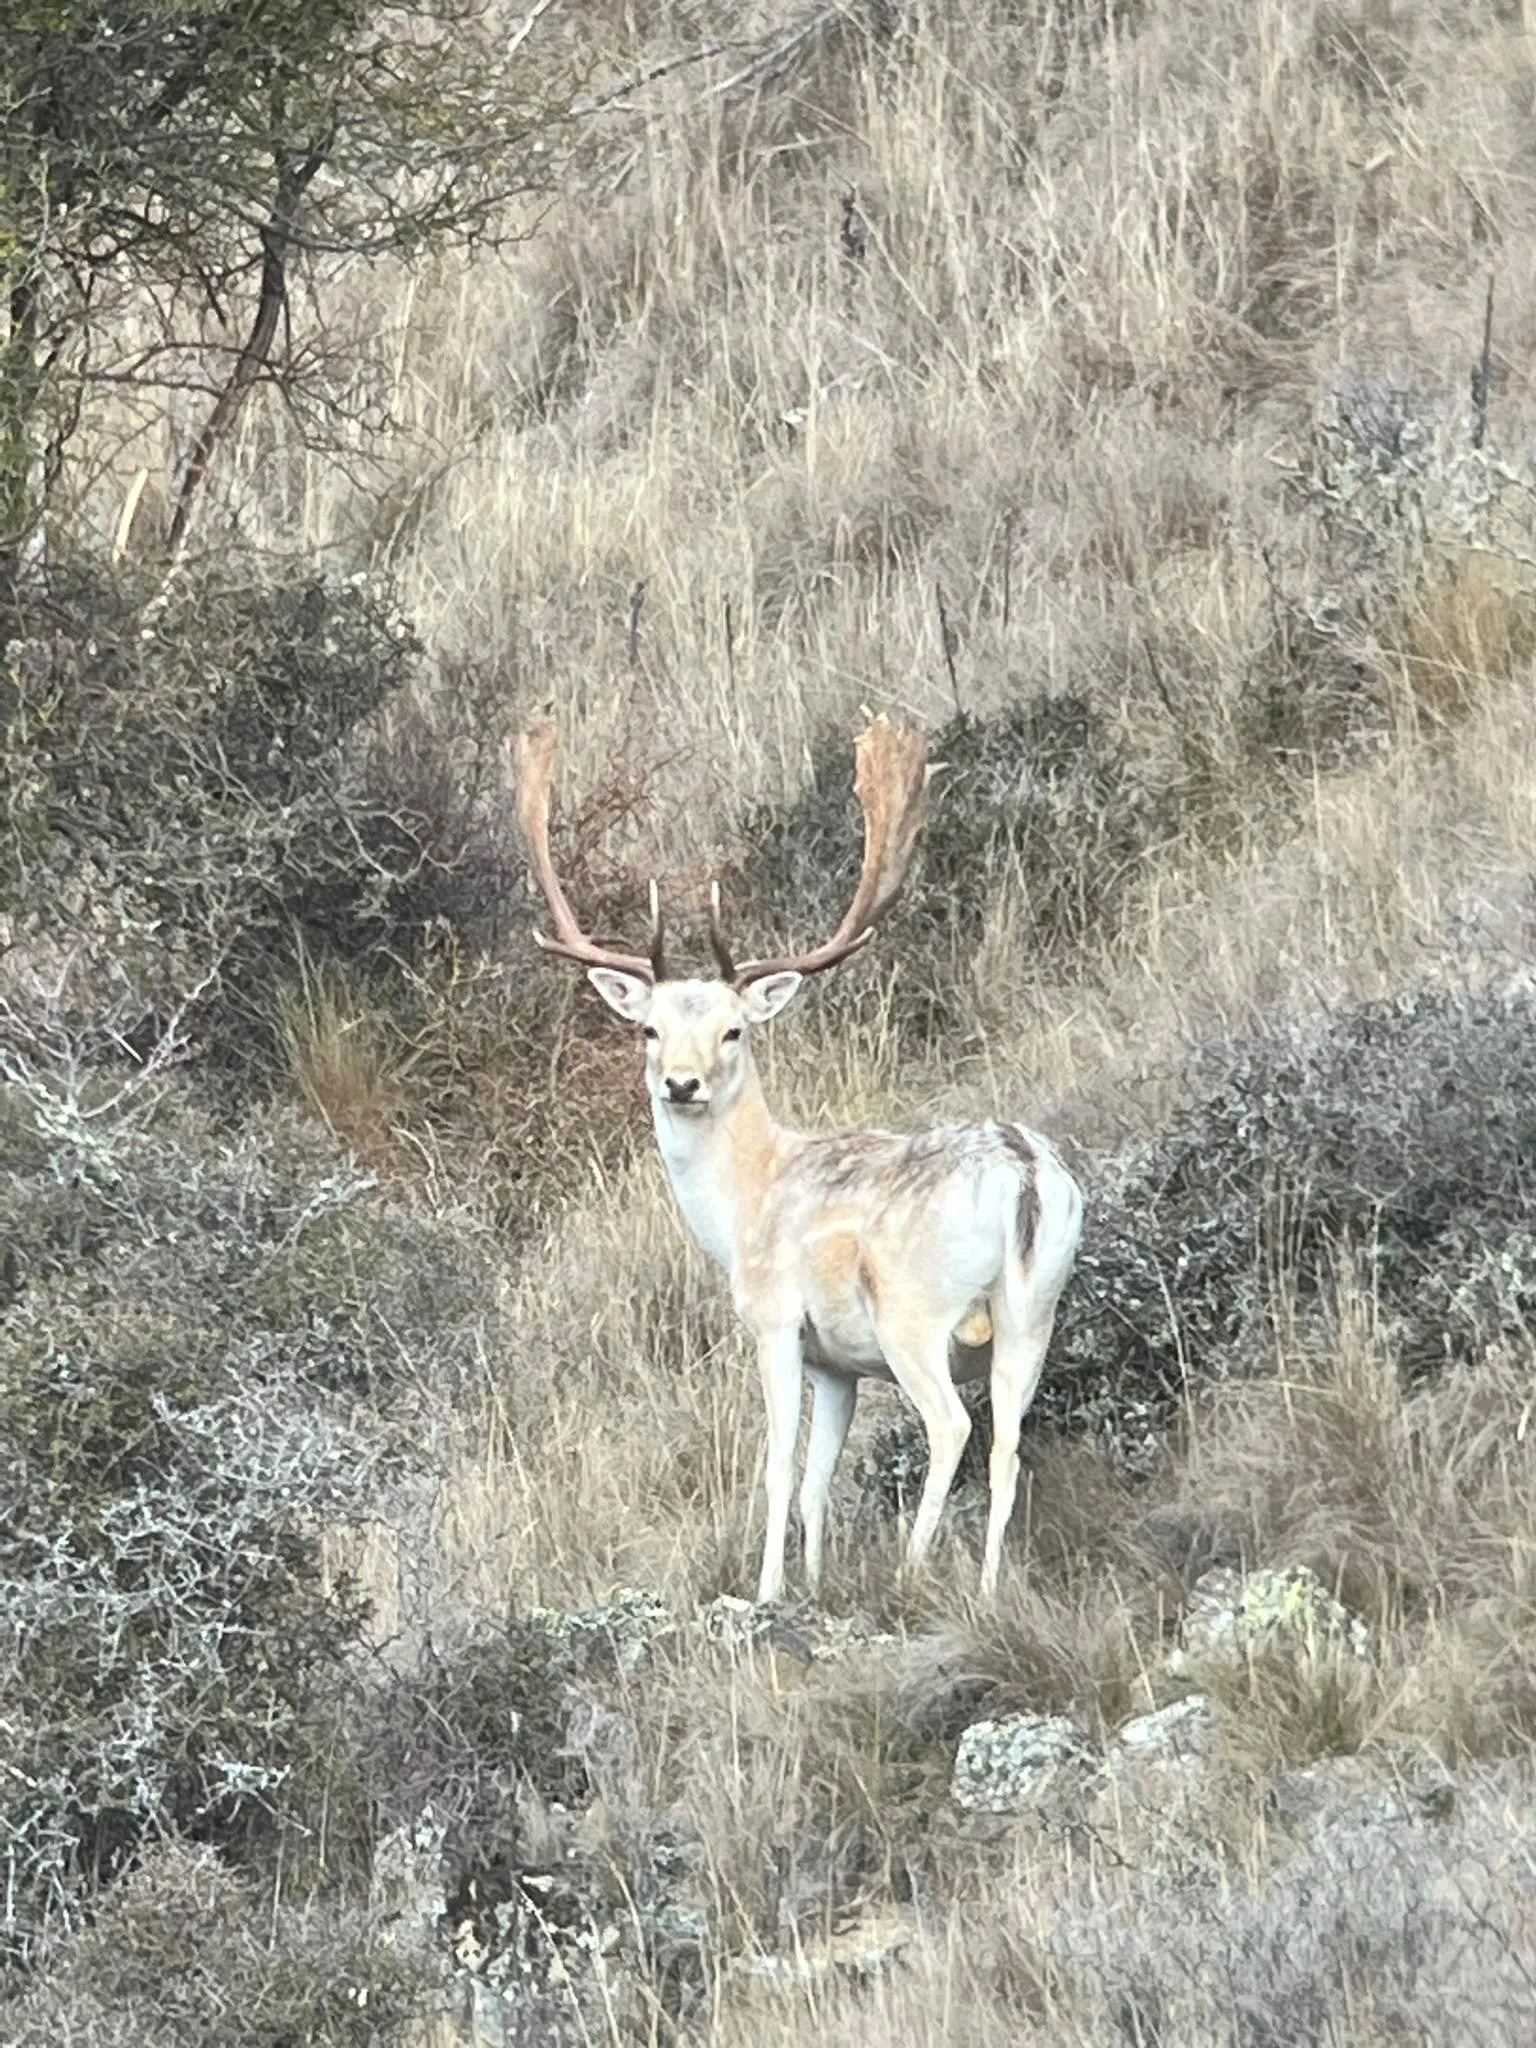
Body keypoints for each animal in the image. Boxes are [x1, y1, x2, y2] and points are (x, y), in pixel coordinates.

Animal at [514, 715, 1083, 1604]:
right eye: (649, 1029)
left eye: (733, 1030)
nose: (681, 1083)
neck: (741, 1207)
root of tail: (1024, 1173)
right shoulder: (836, 1363)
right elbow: (820, 1476)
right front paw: (815, 1577)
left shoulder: (777, 1320)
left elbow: (780, 1466)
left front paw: (769, 1588)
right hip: (1037, 1307)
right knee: (1007, 1442)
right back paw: (991, 1586)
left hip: (913, 1311)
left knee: (953, 1425)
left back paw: (912, 1565)